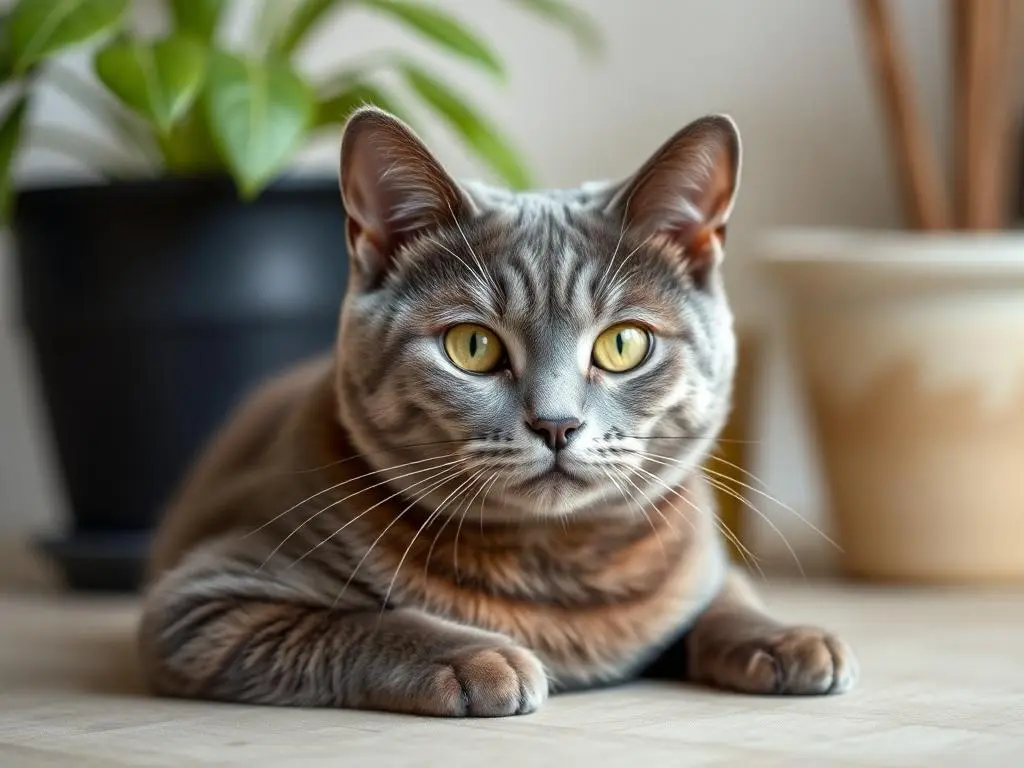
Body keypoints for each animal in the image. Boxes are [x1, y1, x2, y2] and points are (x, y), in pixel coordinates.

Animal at [136, 107, 856, 716]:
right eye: (472, 347)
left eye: (623, 344)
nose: (557, 424)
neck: (553, 565)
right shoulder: (202, 602)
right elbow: (359, 619)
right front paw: (477, 658)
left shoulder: (702, 567)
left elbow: (725, 598)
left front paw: (787, 636)